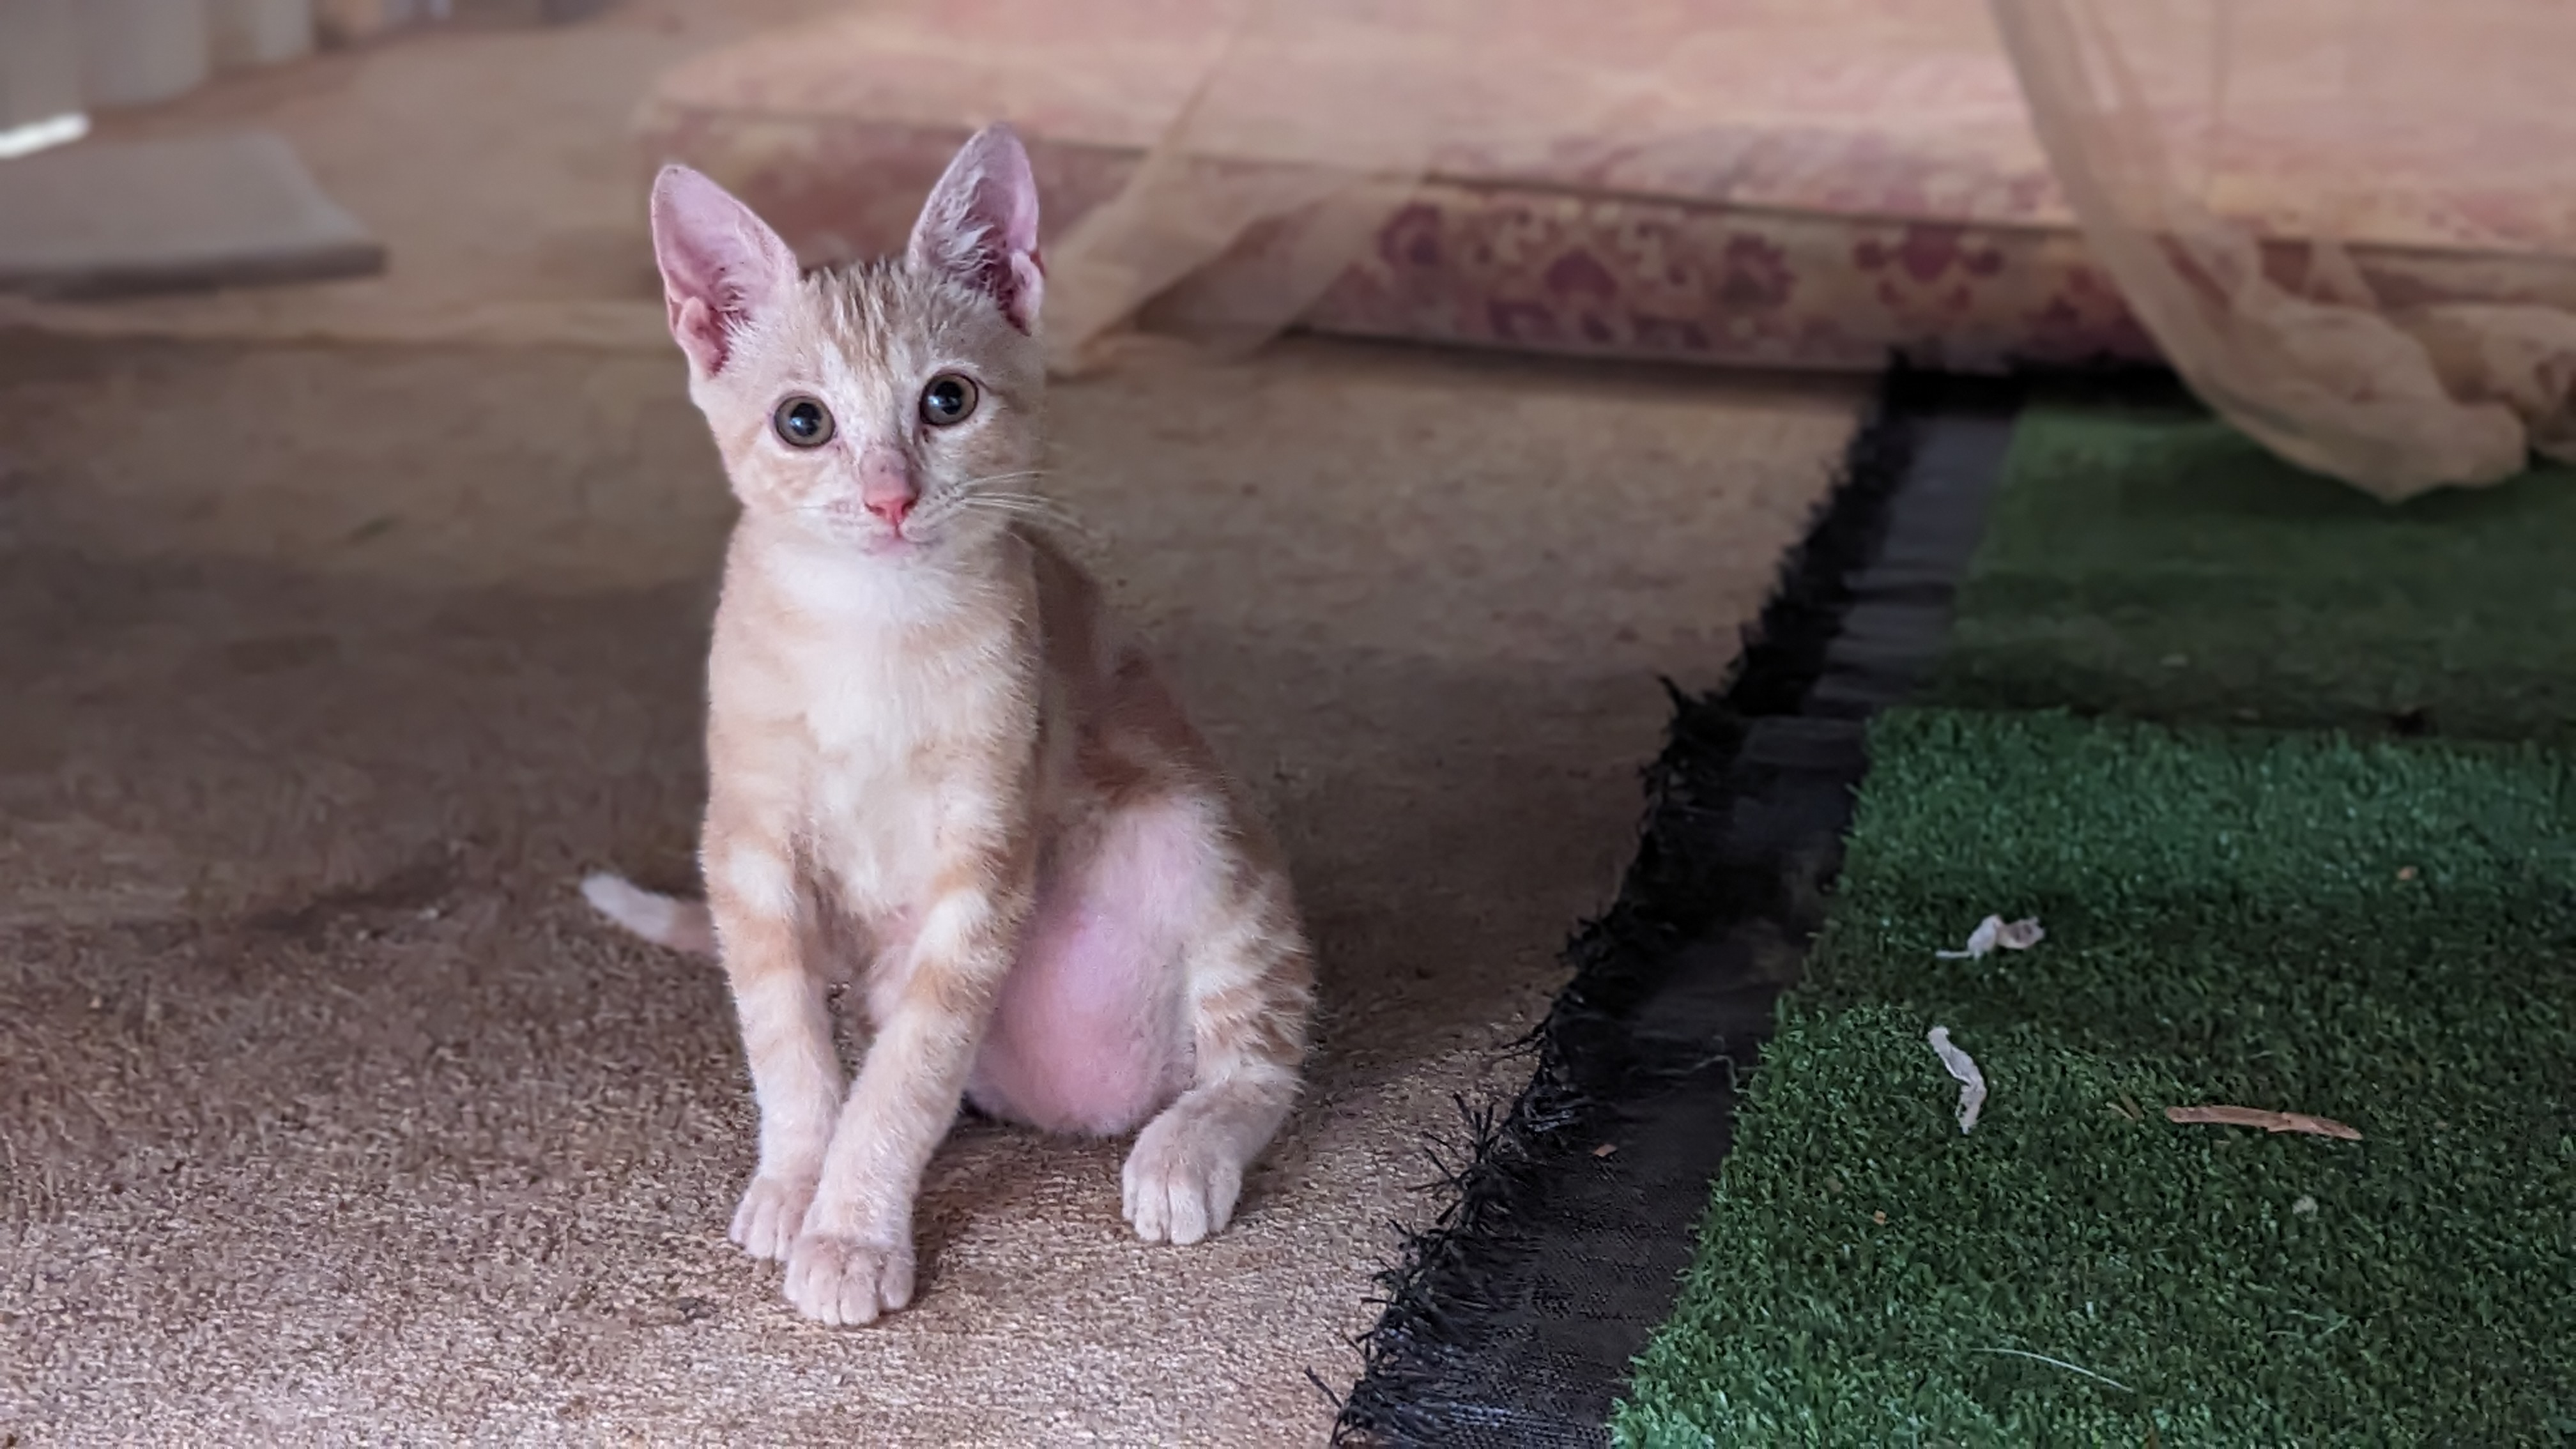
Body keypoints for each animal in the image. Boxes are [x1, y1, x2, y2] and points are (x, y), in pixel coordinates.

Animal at [580, 124, 1316, 1327]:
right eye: (802, 422)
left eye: (947, 401)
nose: (889, 495)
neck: (871, 631)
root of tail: (1081, 1107)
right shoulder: (748, 839)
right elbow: (786, 1035)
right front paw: (798, 1175)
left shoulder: (984, 851)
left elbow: (911, 1073)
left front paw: (848, 1226)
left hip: (1189, 824)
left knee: (1255, 1062)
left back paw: (1184, 1144)